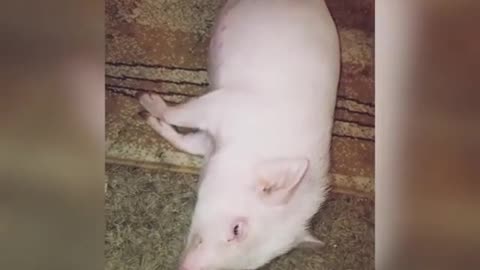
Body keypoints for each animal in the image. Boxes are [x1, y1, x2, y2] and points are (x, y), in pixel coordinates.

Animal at [138, 0, 342, 268]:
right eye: (237, 229)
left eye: (255, 264)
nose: (184, 266)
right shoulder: (224, 104)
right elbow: (179, 115)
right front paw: (146, 101)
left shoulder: (210, 141)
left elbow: (188, 142)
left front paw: (149, 117)